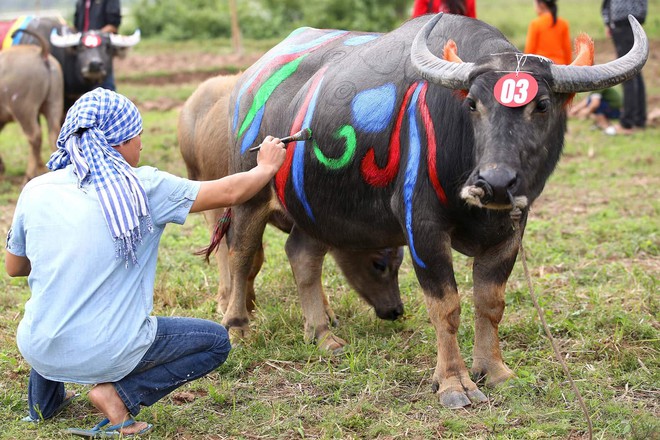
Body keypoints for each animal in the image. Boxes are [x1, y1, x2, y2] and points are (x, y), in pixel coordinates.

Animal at [0, 28, 63, 179]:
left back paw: (29, 174)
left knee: (34, 136)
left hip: (24, 109)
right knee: (53, 134)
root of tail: (41, 53)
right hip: (53, 104)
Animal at [180, 74, 404, 352]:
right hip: (208, 193)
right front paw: (239, 316)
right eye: (378, 263)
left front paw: (325, 313)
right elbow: (248, 256)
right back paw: (225, 299)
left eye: (399, 262)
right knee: (222, 247)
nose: (396, 310)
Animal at [224, 11, 648, 410]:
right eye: (473, 104)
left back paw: (323, 335)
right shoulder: (422, 227)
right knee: (241, 254)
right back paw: (237, 327)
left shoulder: (511, 231)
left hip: (316, 210)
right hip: (250, 192)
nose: (494, 182)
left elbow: (490, 302)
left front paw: (495, 371)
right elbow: (446, 307)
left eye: (542, 105)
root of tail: (248, 81)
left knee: (302, 255)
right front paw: (454, 383)